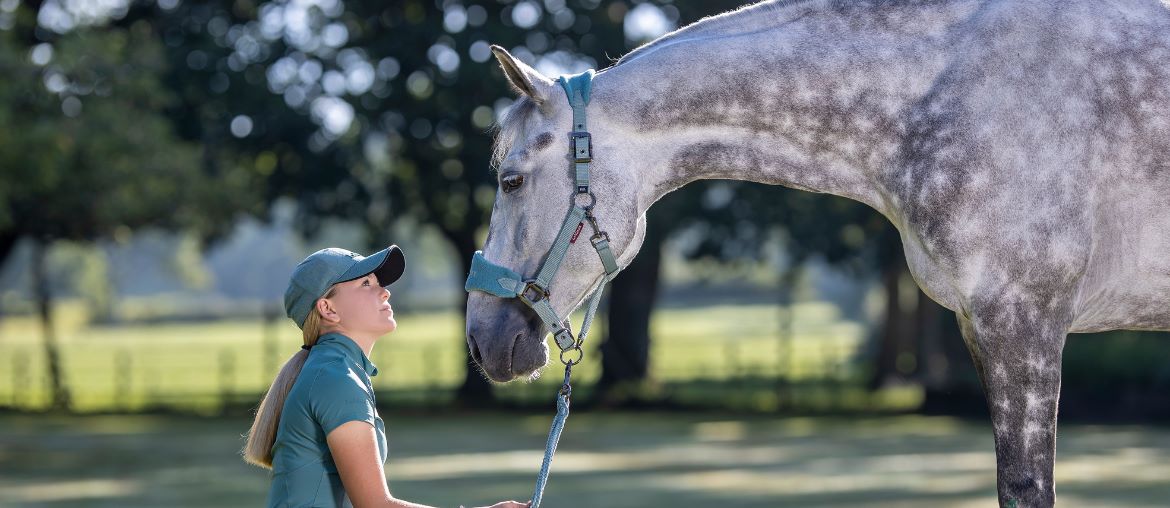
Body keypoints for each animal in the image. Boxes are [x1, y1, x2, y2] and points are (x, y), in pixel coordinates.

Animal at [463, 1, 1170, 506]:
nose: (480, 339)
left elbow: (1024, 487)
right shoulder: (983, 325)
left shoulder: (1024, 323)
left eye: (512, 180)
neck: (951, 89)